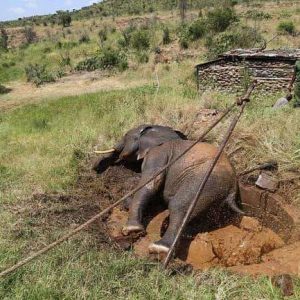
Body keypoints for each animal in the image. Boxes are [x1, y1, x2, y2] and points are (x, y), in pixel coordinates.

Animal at [93, 123, 241, 253]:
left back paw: (160, 248)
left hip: (204, 181)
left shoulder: (159, 154)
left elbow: (150, 184)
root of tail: (233, 187)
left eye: (125, 135)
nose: (95, 169)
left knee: (179, 206)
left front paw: (132, 230)